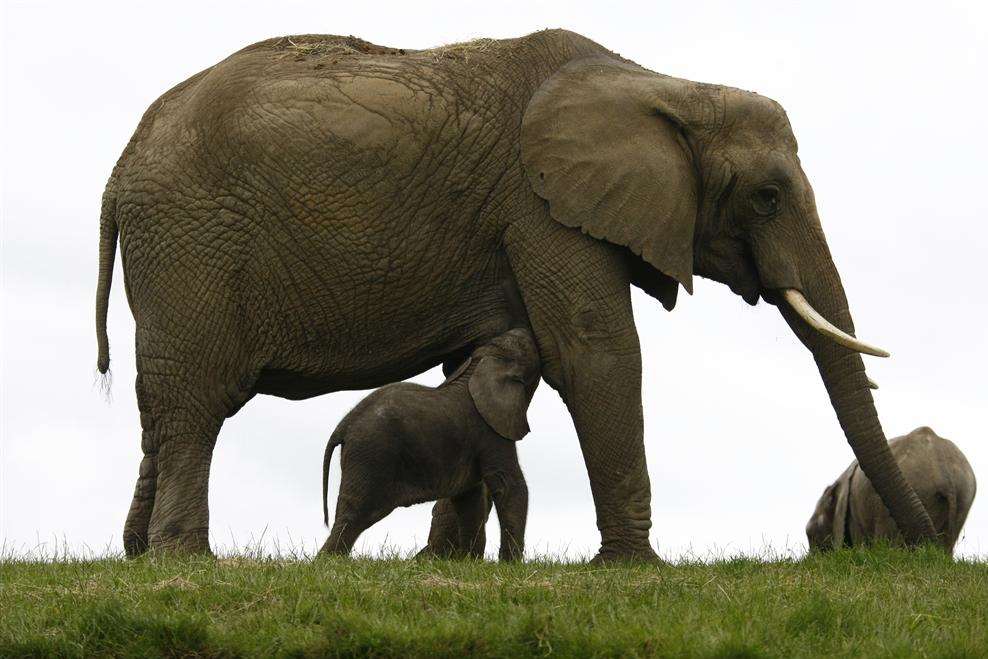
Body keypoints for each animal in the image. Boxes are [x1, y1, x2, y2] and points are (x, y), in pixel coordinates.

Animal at [320, 328, 540, 560]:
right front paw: (511, 563)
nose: (524, 330)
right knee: (357, 514)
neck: (481, 362)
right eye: (524, 346)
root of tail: (343, 425)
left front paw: (470, 561)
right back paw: (329, 560)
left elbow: (470, 498)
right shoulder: (488, 427)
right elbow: (508, 484)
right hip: (371, 454)